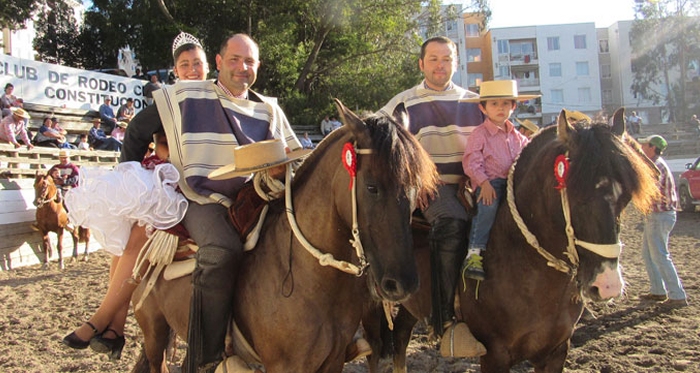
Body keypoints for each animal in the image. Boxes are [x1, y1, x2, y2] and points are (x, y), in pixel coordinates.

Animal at [130, 99, 438, 372]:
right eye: (372, 187)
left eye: (415, 189)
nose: (402, 284)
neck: (308, 278)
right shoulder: (286, 365)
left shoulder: (333, 360)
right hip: (154, 332)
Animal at [360, 108, 660, 372]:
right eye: (576, 195)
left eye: (625, 198)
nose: (607, 285)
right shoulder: (495, 355)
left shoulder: (556, 352)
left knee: (400, 337)